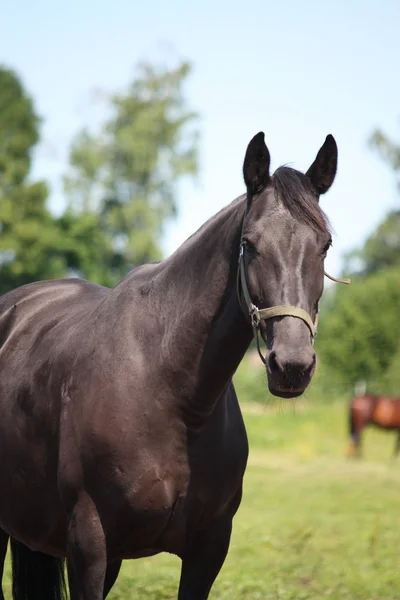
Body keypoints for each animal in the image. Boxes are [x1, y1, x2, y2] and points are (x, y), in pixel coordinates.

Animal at [0, 132, 340, 600]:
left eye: (324, 245)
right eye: (249, 244)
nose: (291, 364)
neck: (170, 390)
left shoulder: (208, 548)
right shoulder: (89, 544)